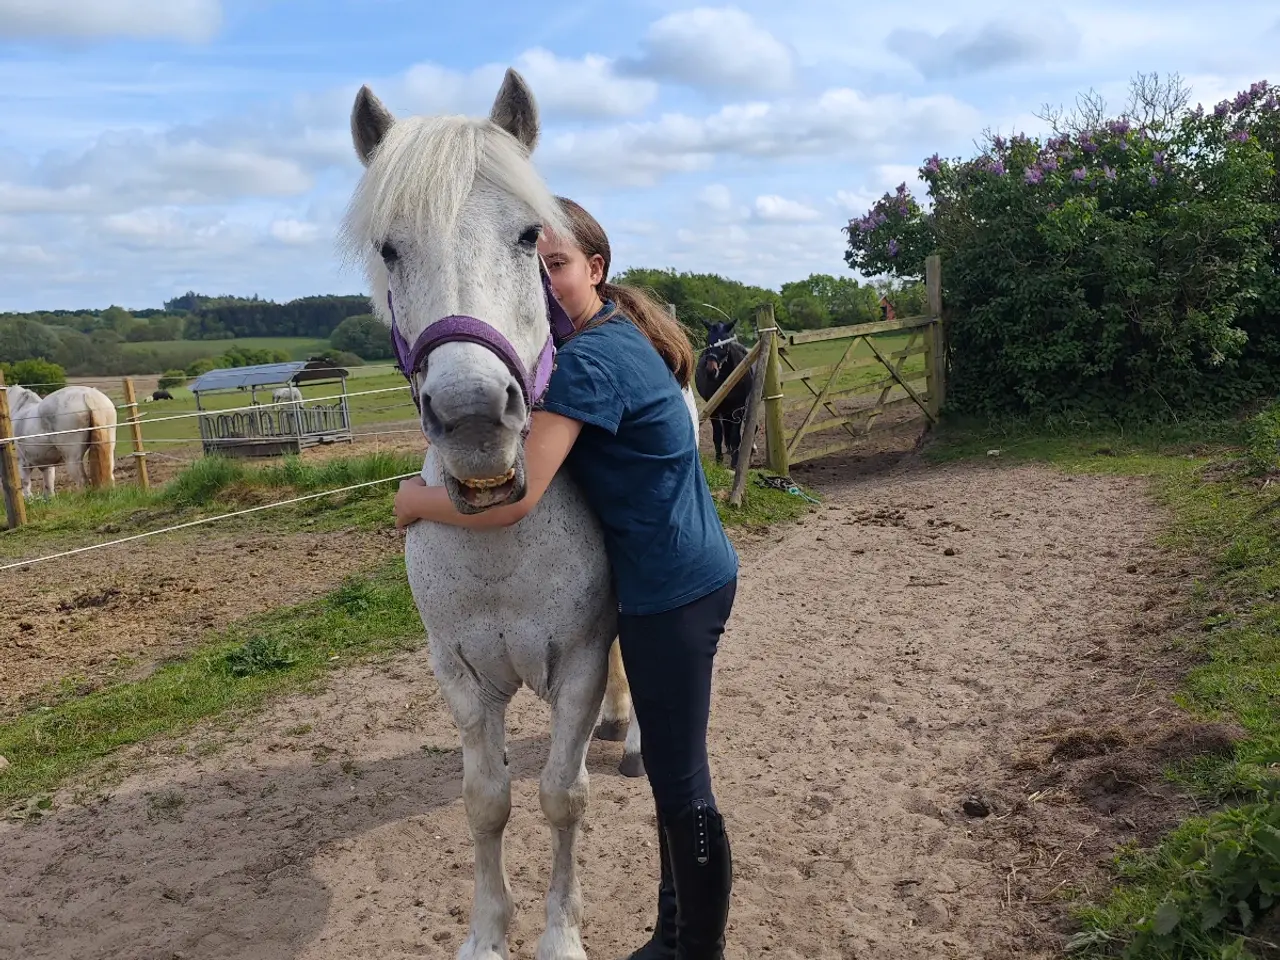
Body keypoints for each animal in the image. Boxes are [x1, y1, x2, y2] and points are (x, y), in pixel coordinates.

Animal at [695, 318, 755, 468]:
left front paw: (735, 461)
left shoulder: (738, 407)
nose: (711, 371)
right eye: (708, 342)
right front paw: (718, 460)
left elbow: (735, 435)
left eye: (724, 344)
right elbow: (717, 435)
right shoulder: (714, 409)